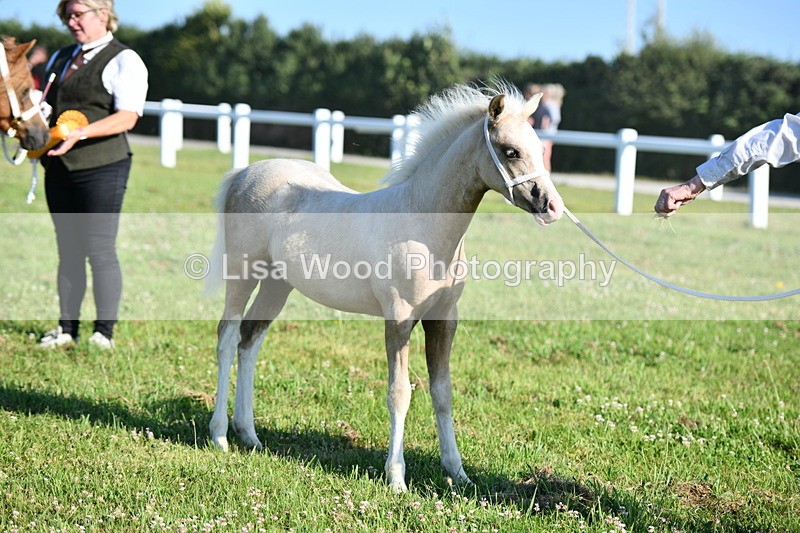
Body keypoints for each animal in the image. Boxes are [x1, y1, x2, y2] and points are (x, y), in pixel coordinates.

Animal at [207, 82, 565, 492]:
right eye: (510, 151)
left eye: (539, 146)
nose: (552, 206)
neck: (421, 225)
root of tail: (245, 172)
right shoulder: (398, 319)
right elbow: (400, 393)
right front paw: (396, 478)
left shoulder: (444, 319)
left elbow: (442, 392)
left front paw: (457, 473)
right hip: (242, 273)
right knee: (227, 337)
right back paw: (219, 435)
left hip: (277, 284)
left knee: (250, 339)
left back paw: (248, 434)